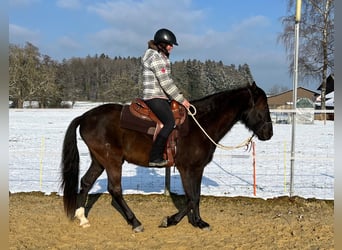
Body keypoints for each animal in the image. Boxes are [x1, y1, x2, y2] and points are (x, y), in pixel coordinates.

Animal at [59, 81, 272, 231]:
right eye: (263, 107)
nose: (268, 133)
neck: (200, 124)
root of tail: (85, 117)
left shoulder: (197, 169)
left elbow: (196, 196)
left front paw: (198, 222)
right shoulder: (187, 169)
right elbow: (191, 197)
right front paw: (170, 220)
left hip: (99, 160)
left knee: (86, 182)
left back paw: (82, 218)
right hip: (112, 161)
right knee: (115, 190)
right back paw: (135, 222)